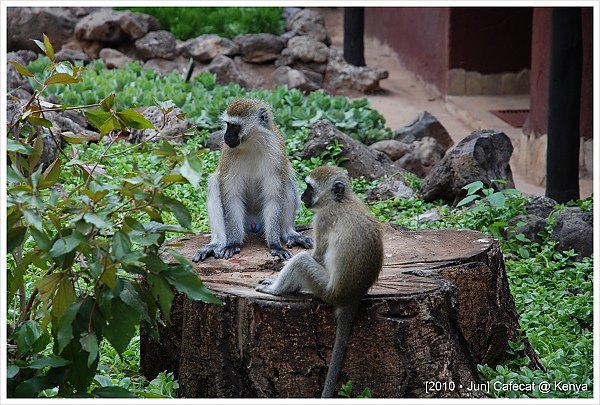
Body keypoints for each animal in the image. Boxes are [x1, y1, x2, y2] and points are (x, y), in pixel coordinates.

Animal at [193, 98, 314, 262]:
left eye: (235, 126)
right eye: (227, 124)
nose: (225, 137)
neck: (252, 143)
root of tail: (254, 225)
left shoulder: (276, 152)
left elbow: (273, 197)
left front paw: (275, 244)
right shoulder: (228, 154)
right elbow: (231, 197)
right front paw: (233, 243)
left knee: (287, 181)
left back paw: (288, 233)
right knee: (215, 184)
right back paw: (218, 242)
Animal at [255, 165, 382, 398]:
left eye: (310, 187)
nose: (303, 196)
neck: (340, 201)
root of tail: (352, 296)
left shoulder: (323, 219)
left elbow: (316, 257)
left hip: (325, 289)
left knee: (302, 261)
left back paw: (275, 290)